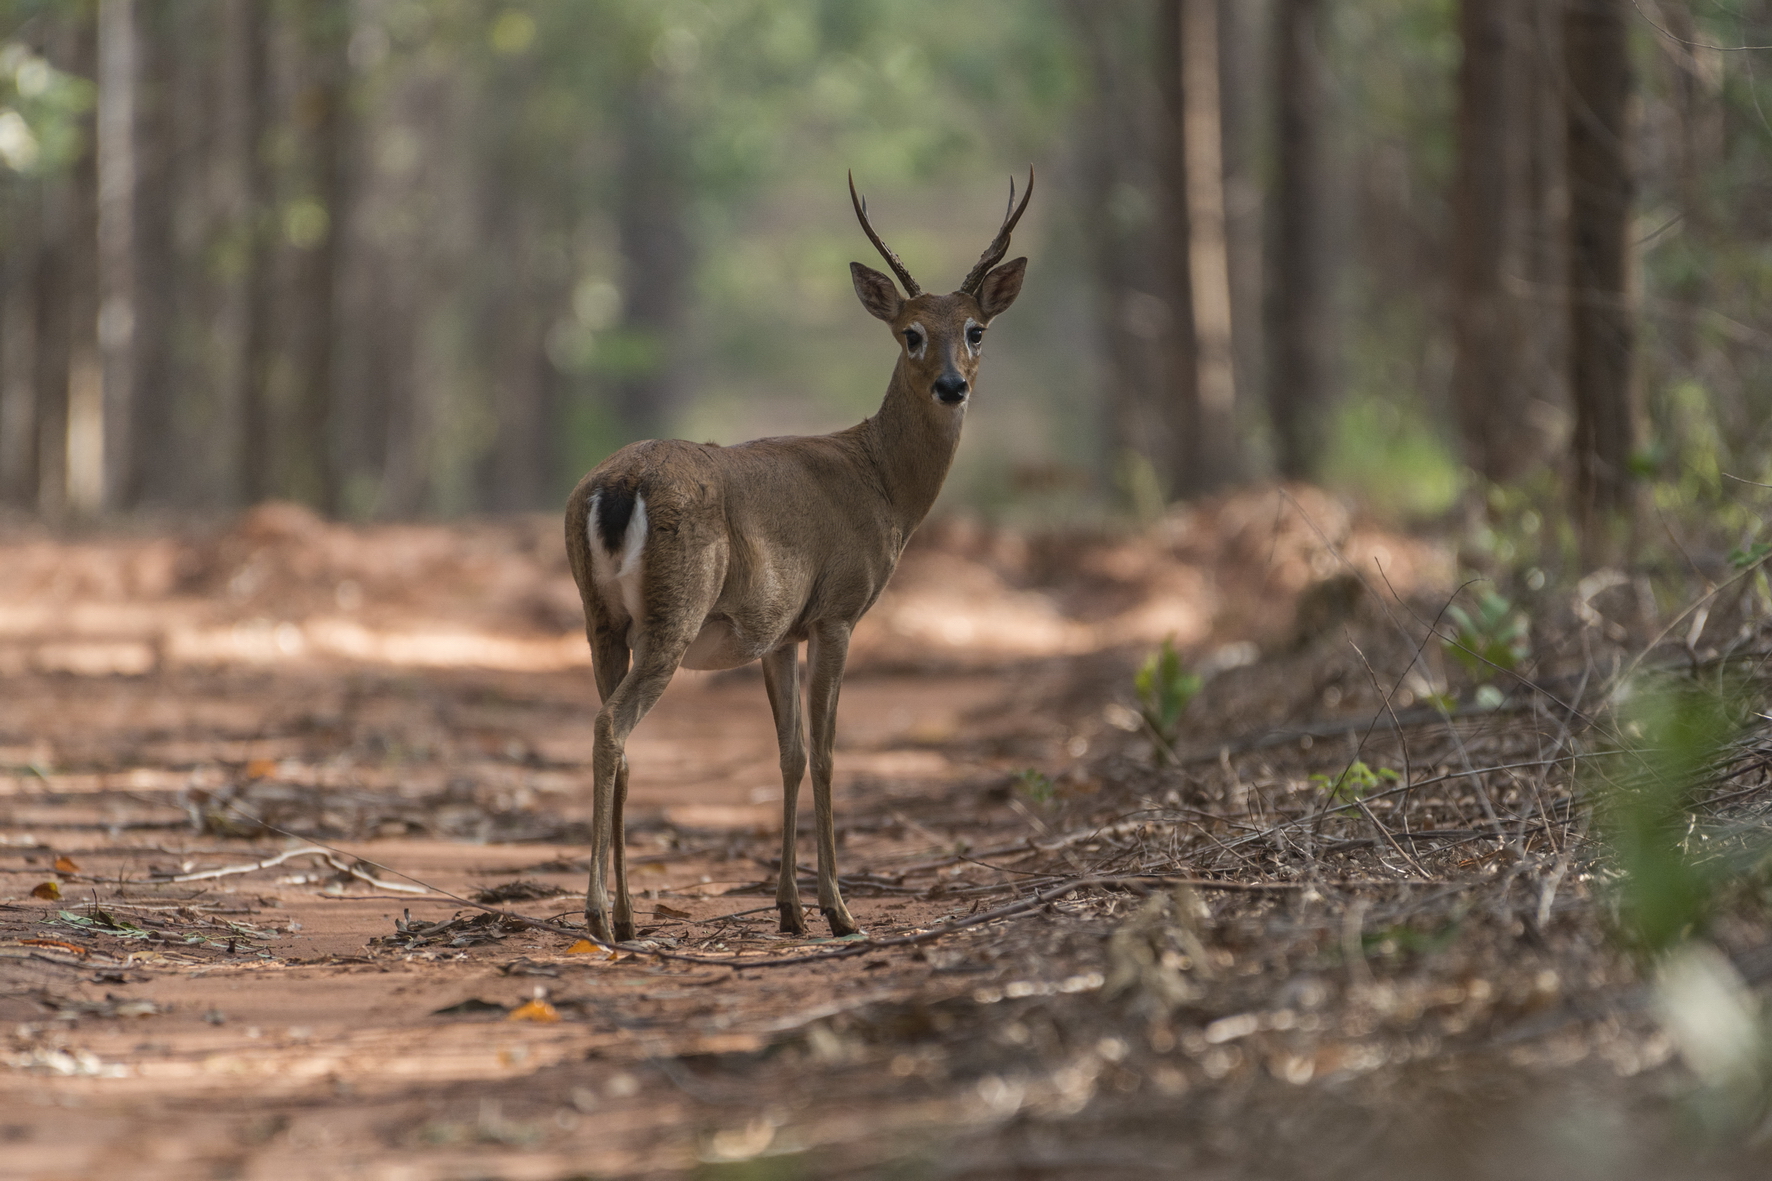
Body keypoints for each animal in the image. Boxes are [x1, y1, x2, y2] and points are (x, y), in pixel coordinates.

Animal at [567, 172, 1034, 936]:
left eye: (975, 330)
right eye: (911, 333)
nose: (952, 385)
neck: (883, 482)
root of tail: (616, 487)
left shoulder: (778, 631)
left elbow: (786, 753)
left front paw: (790, 908)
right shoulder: (837, 611)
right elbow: (825, 753)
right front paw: (839, 909)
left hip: (600, 619)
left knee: (622, 738)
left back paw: (632, 918)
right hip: (674, 613)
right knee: (613, 726)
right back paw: (599, 916)